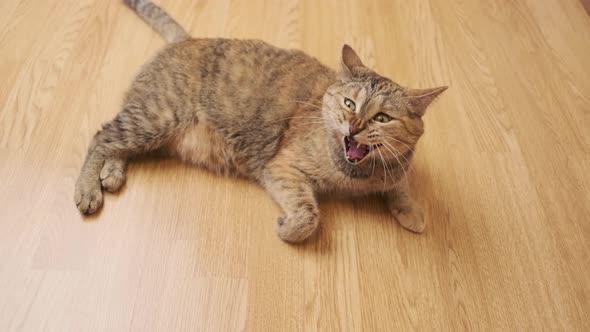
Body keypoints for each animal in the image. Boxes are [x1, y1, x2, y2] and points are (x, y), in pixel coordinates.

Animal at [76, 0, 450, 244]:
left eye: (383, 118)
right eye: (349, 103)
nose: (355, 126)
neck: (358, 175)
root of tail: (187, 39)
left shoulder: (396, 168)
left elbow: (400, 185)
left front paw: (410, 211)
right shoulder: (283, 168)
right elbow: (308, 216)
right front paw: (289, 227)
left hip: (150, 123)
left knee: (115, 143)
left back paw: (112, 173)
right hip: (156, 117)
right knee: (101, 136)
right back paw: (88, 189)